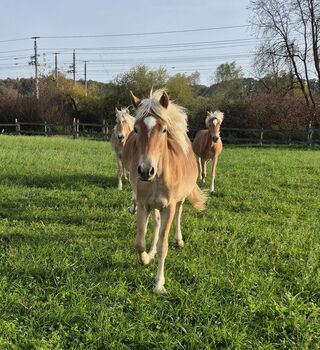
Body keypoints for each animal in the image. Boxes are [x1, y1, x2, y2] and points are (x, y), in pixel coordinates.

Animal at [122, 88, 208, 292]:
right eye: (135, 129)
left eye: (163, 129)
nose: (145, 171)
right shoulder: (143, 205)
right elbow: (140, 242)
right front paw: (146, 258)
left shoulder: (168, 207)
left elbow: (164, 246)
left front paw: (159, 283)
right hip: (154, 207)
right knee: (156, 223)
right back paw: (151, 251)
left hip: (179, 202)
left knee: (178, 216)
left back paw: (179, 240)